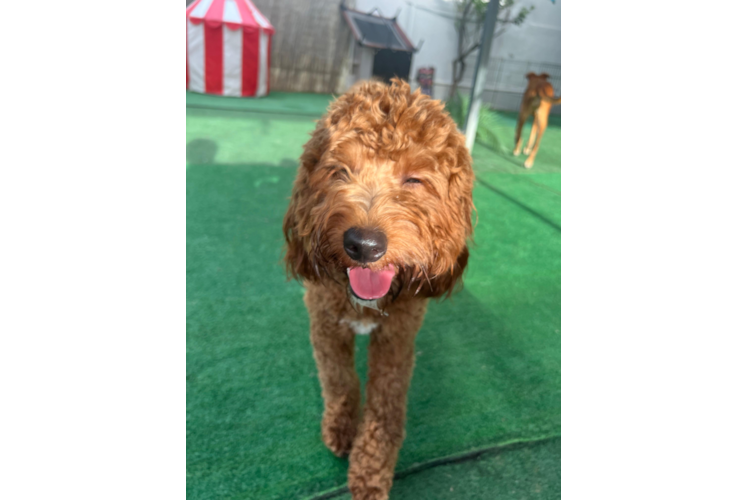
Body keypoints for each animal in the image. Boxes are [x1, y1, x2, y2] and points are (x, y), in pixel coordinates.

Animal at [280, 79, 474, 500]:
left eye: (414, 179)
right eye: (339, 172)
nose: (364, 244)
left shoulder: (397, 338)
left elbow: (386, 403)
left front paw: (371, 470)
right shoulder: (326, 326)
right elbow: (340, 380)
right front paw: (341, 428)